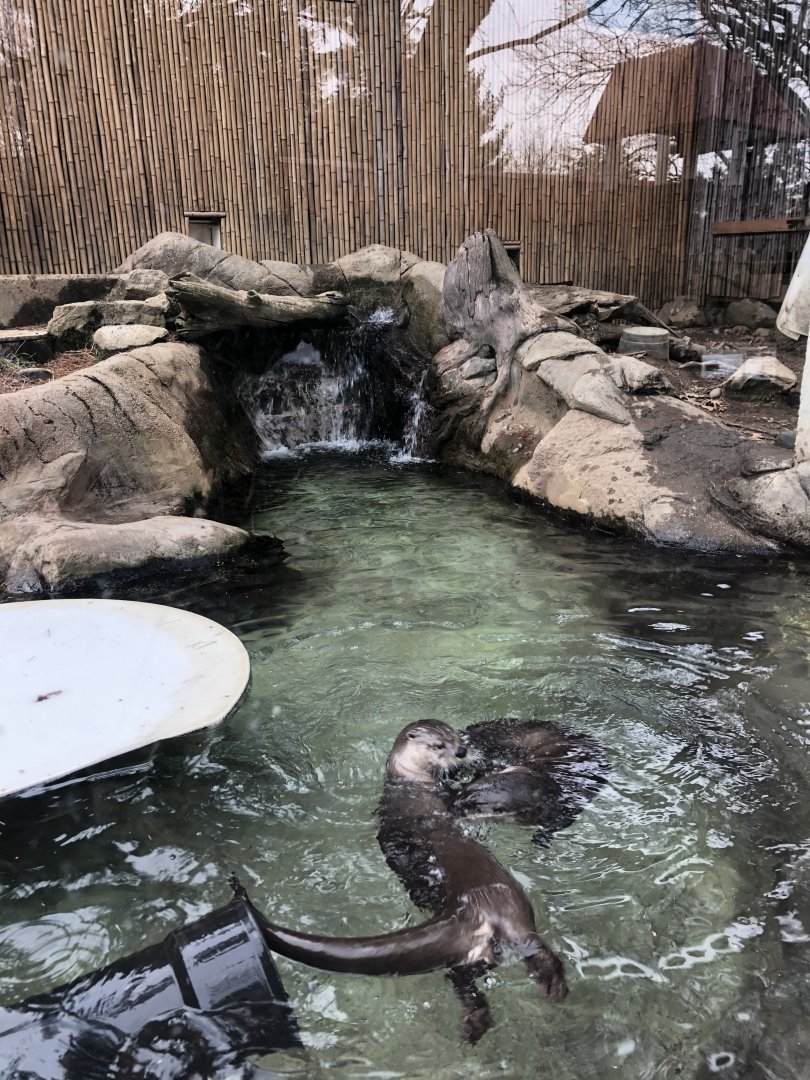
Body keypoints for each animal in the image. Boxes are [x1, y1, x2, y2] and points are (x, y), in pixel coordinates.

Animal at [250, 720, 567, 1043]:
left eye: (455, 737)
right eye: (438, 745)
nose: (462, 751)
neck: (407, 779)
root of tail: (461, 910)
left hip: (474, 955)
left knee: (460, 978)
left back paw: (474, 1023)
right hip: (512, 911)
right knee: (534, 949)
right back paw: (554, 987)